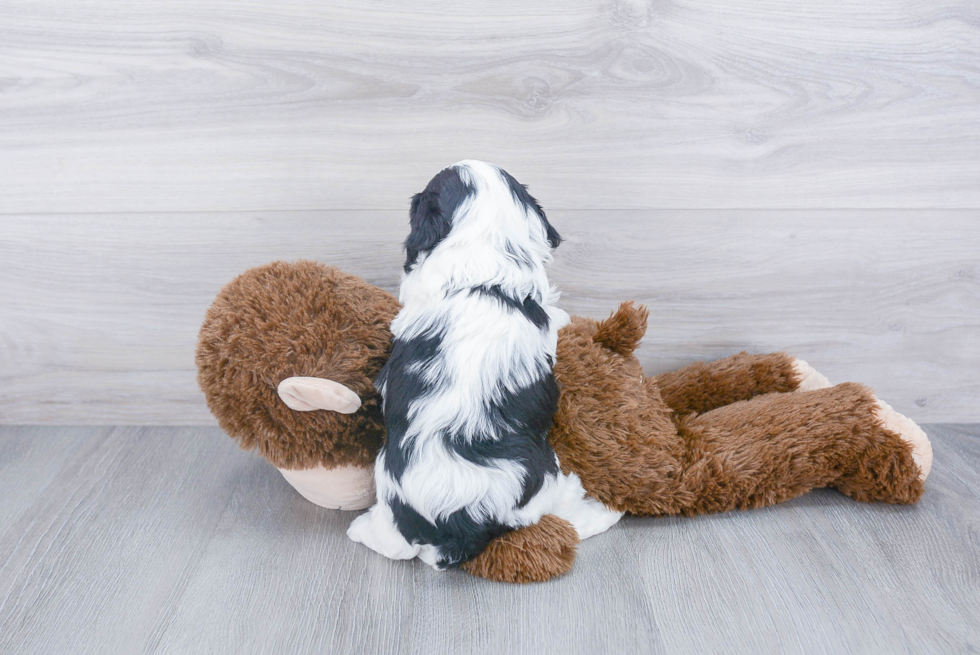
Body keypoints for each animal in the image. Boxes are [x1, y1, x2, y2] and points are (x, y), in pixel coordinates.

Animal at [346, 160, 620, 568]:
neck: (477, 273)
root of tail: (457, 521)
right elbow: (556, 316)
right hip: (545, 476)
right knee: (564, 513)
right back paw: (603, 511)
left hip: (387, 484)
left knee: (394, 543)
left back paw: (359, 529)